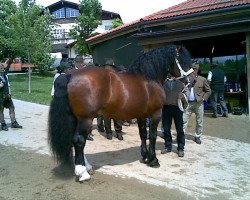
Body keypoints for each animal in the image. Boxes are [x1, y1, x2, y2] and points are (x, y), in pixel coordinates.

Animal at [47, 44, 192, 182]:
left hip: (75, 118)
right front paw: (153, 160)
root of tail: (70, 75)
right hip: (86, 119)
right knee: (79, 140)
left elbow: (143, 135)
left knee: (75, 141)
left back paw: (87, 167)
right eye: (183, 61)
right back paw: (83, 173)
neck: (149, 79)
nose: (191, 82)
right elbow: (152, 136)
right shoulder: (155, 114)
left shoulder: (141, 115)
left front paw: (145, 156)